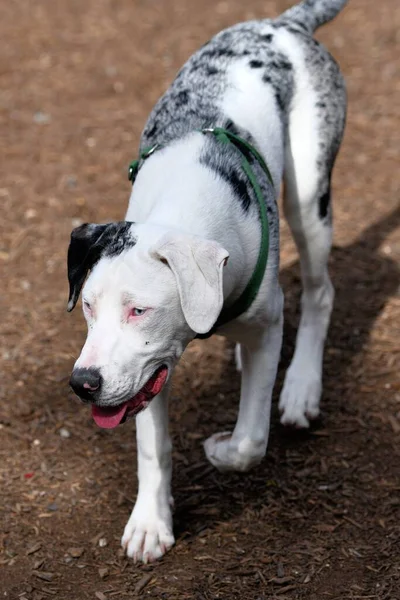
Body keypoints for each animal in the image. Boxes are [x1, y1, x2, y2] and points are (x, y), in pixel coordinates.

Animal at [66, 0, 346, 564]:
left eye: (139, 309)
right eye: (87, 306)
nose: (83, 383)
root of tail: (284, 24)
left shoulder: (265, 327)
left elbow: (250, 441)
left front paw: (219, 450)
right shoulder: (147, 373)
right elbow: (154, 446)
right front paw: (151, 522)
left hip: (310, 198)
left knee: (320, 292)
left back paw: (301, 387)